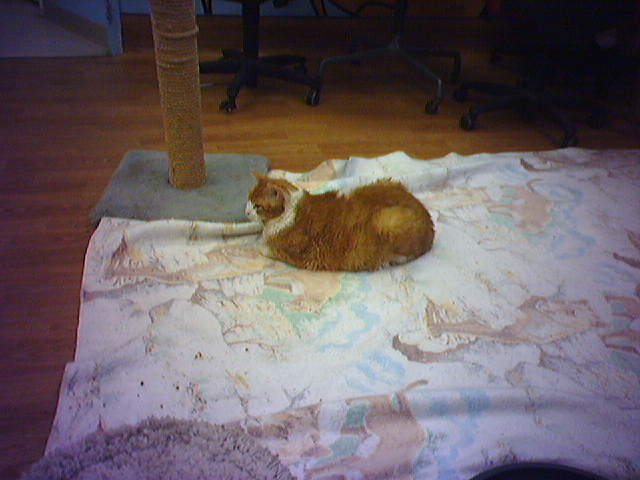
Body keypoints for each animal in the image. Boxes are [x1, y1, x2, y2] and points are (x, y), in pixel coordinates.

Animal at [245, 172, 434, 271]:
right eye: (248, 199)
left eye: (257, 206)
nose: (246, 212)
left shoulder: (295, 254)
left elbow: (263, 246)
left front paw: (256, 243)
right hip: (388, 181)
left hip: (388, 220)